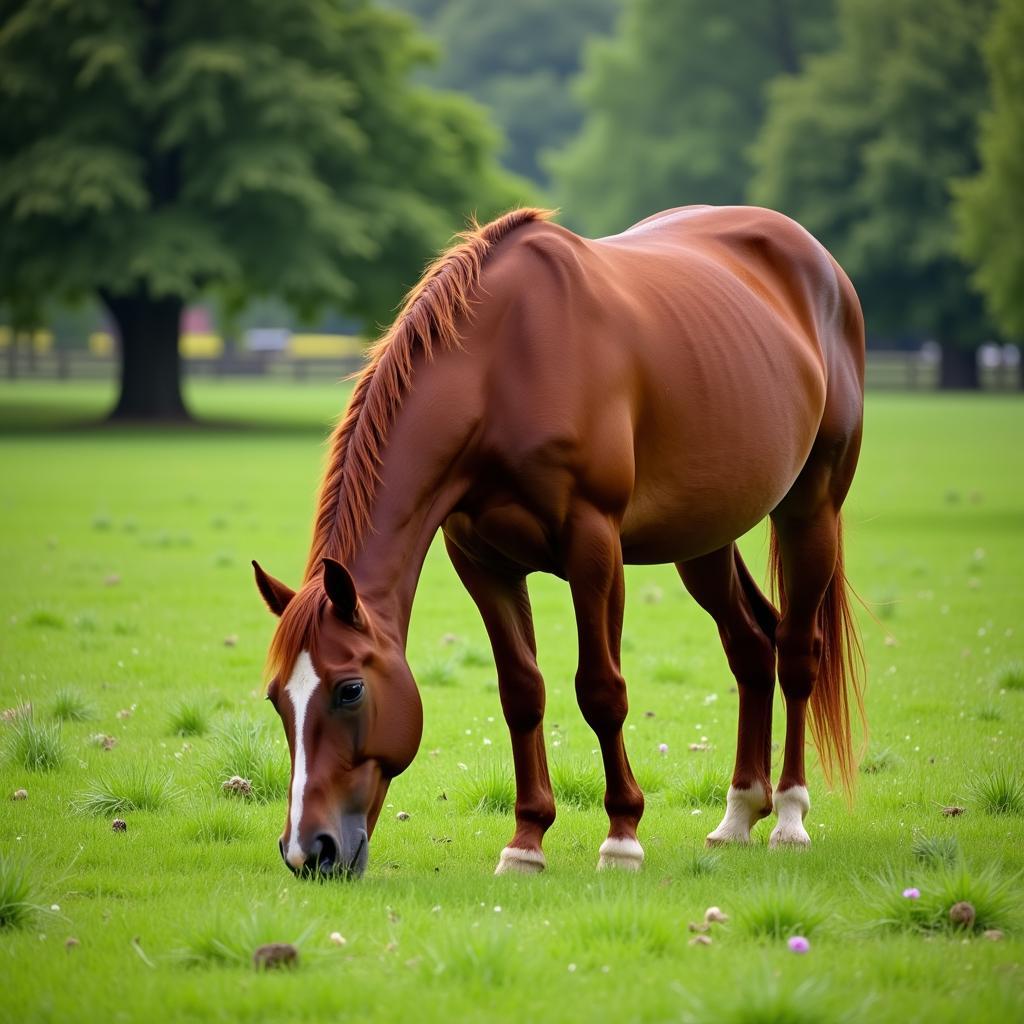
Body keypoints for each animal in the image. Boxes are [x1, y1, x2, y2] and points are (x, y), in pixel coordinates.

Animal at [253, 205, 864, 880]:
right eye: (278, 699)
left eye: (350, 690)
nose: (309, 851)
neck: (500, 368)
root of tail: (819, 262)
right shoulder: (482, 562)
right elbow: (521, 693)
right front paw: (526, 842)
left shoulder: (595, 549)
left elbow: (601, 691)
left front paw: (621, 838)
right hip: (704, 537)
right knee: (753, 646)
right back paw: (737, 817)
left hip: (810, 511)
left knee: (798, 650)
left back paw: (788, 817)